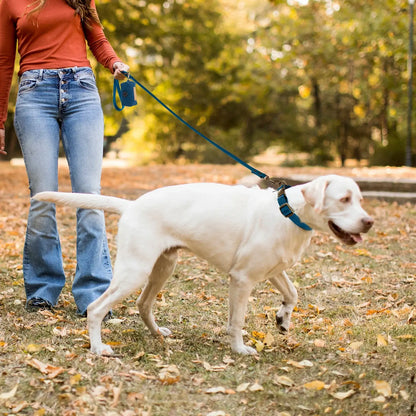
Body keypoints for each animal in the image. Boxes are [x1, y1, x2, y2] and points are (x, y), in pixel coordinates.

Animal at [34, 174, 374, 356]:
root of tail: (132, 205)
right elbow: (236, 321)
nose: (369, 222)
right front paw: (239, 349)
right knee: (96, 308)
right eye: (344, 199)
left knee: (143, 305)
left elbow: (293, 293)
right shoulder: (242, 279)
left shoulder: (273, 271)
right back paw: (98, 348)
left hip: (162, 268)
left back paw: (157, 334)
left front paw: (283, 319)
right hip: (135, 272)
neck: (289, 213)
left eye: (359, 199)